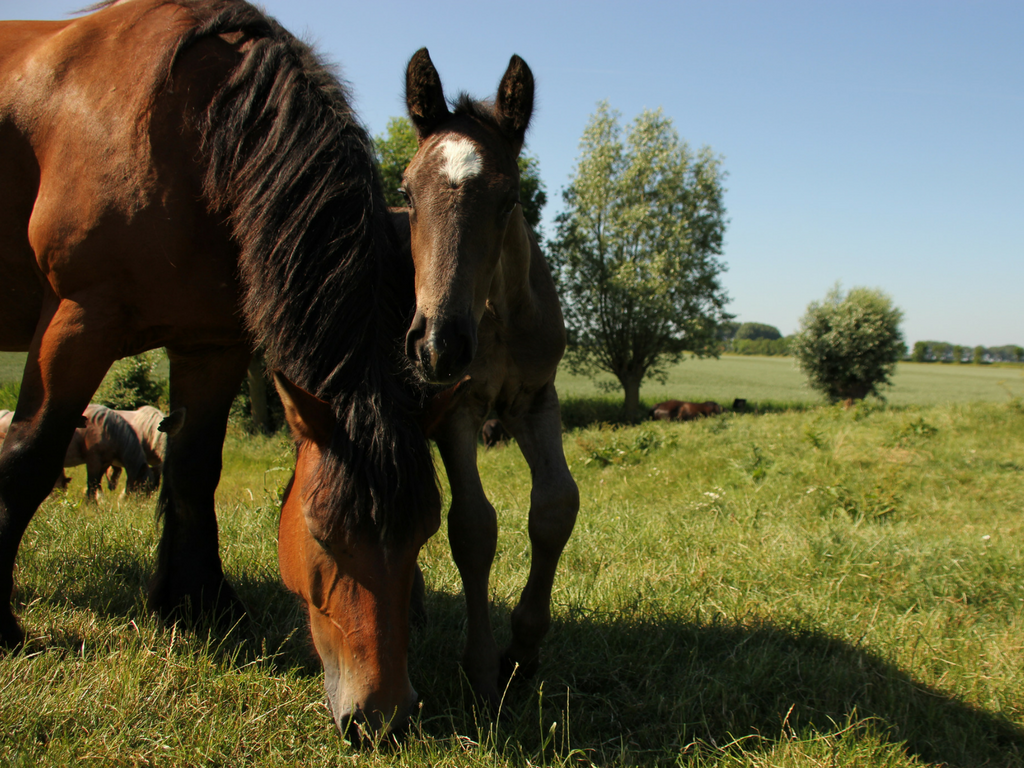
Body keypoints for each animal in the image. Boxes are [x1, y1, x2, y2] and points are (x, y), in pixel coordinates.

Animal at [0, 0, 436, 741]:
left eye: (425, 533)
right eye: (322, 535)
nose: (382, 718)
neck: (191, 124)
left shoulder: (214, 345)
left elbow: (193, 469)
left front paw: (199, 602)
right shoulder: (78, 319)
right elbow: (27, 459)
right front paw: (1, 625)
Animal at [395, 46, 581, 708]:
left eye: (510, 198)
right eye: (406, 191)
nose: (438, 345)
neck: (496, 318)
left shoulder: (536, 400)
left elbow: (555, 506)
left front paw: (522, 655)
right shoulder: (458, 409)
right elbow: (472, 526)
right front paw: (479, 670)